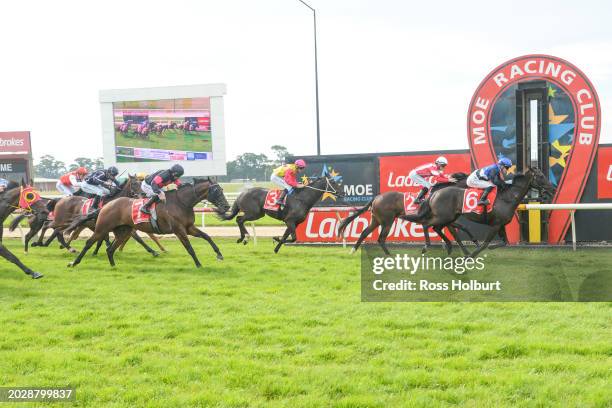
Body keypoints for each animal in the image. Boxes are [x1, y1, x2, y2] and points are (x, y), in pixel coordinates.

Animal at [65, 178, 230, 268]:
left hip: (123, 231)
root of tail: (106, 205)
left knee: (110, 249)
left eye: (222, 189)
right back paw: (74, 262)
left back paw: (113, 266)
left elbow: (207, 236)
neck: (182, 202)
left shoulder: (189, 227)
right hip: (102, 228)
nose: (227, 207)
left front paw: (219, 254)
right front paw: (198, 264)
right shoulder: (179, 230)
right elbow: (190, 248)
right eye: (216, 191)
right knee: (89, 243)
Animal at [402, 167, 556, 256]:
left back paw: (449, 247)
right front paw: (471, 255)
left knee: (436, 227)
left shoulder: (501, 224)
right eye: (541, 176)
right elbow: (484, 244)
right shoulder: (495, 225)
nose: (552, 189)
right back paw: (427, 246)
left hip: (448, 217)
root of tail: (435, 193)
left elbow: (505, 242)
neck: (507, 197)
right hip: (443, 217)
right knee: (427, 224)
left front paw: (490, 247)